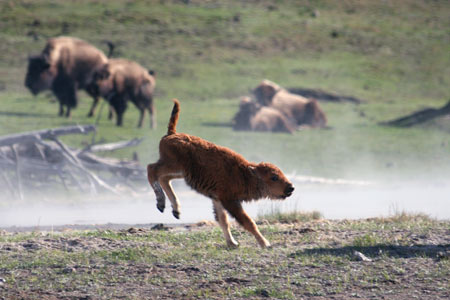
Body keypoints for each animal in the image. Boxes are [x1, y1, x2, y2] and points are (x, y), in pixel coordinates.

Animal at [149, 99, 296, 247]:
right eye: (274, 177)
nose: (290, 187)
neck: (244, 174)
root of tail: (171, 134)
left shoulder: (217, 198)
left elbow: (223, 220)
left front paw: (232, 243)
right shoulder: (229, 201)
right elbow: (248, 222)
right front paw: (265, 243)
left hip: (180, 172)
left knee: (164, 179)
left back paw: (175, 210)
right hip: (173, 165)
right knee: (152, 170)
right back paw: (161, 203)